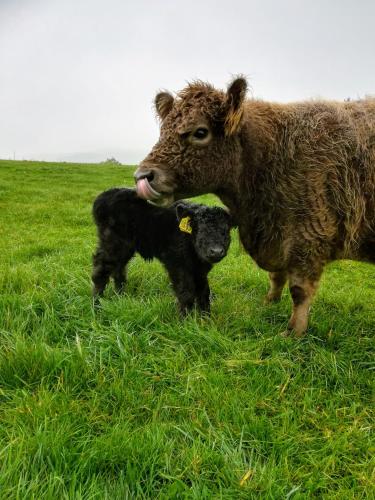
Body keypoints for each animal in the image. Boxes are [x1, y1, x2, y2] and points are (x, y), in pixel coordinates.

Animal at [135, 77, 375, 336]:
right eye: (163, 132)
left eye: (200, 132)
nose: (142, 176)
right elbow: (276, 277)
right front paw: (269, 303)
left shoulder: (309, 237)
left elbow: (300, 290)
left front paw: (293, 332)